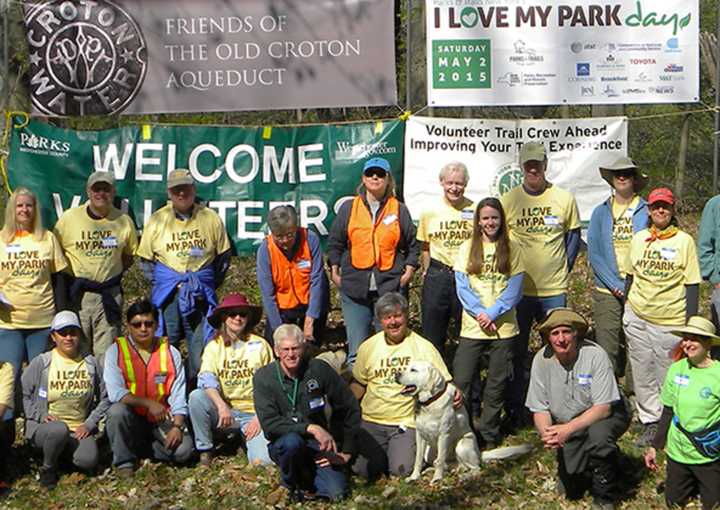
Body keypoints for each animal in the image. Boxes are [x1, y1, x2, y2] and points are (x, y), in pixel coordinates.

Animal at [396, 360, 532, 484]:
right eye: (406, 367)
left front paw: (437, 478)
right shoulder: (420, 435)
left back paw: (465, 476)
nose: (396, 374)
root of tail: (479, 454)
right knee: (449, 464)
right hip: (429, 452)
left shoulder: (443, 435)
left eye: (413, 370)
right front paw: (414, 477)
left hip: (462, 444)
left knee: (475, 468)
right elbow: (418, 460)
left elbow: (440, 460)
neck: (430, 402)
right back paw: (435, 470)